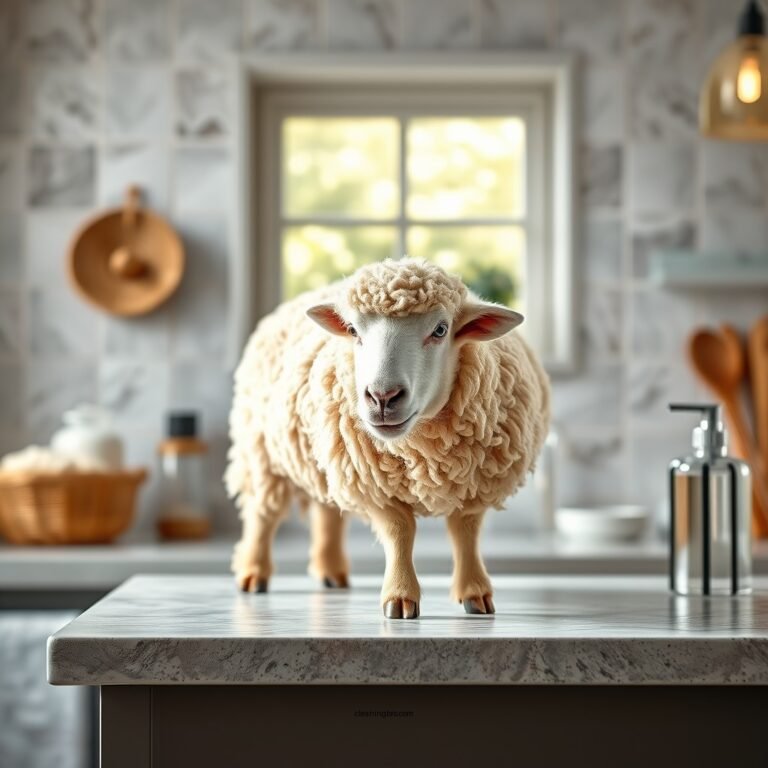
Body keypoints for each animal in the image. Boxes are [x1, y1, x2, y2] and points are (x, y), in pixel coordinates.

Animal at [226, 257, 550, 618]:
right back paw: (253, 574)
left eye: (440, 330)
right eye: (353, 331)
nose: (382, 397)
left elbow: (465, 532)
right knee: (262, 514)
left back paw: (331, 573)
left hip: (325, 456)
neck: (424, 452)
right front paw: (400, 597)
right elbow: (400, 531)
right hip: (261, 450)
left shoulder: (475, 482)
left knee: (328, 512)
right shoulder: (374, 485)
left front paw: (474, 593)